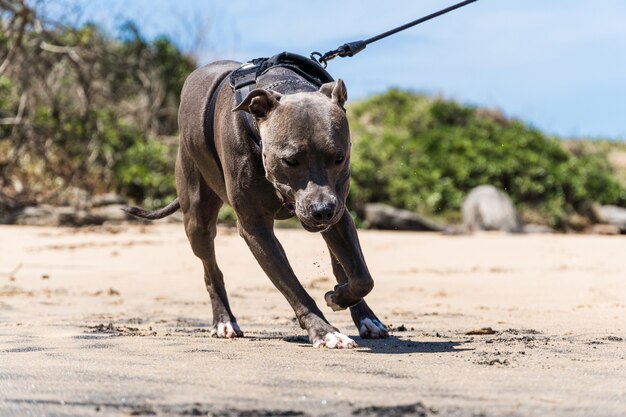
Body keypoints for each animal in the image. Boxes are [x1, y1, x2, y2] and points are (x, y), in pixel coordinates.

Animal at [125, 56, 388, 348]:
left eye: (339, 158)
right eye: (290, 160)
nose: (322, 211)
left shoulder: (340, 212)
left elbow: (362, 276)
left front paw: (340, 298)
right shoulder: (255, 228)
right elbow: (292, 287)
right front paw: (325, 332)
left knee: (342, 267)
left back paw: (365, 316)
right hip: (196, 214)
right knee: (211, 269)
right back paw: (224, 321)